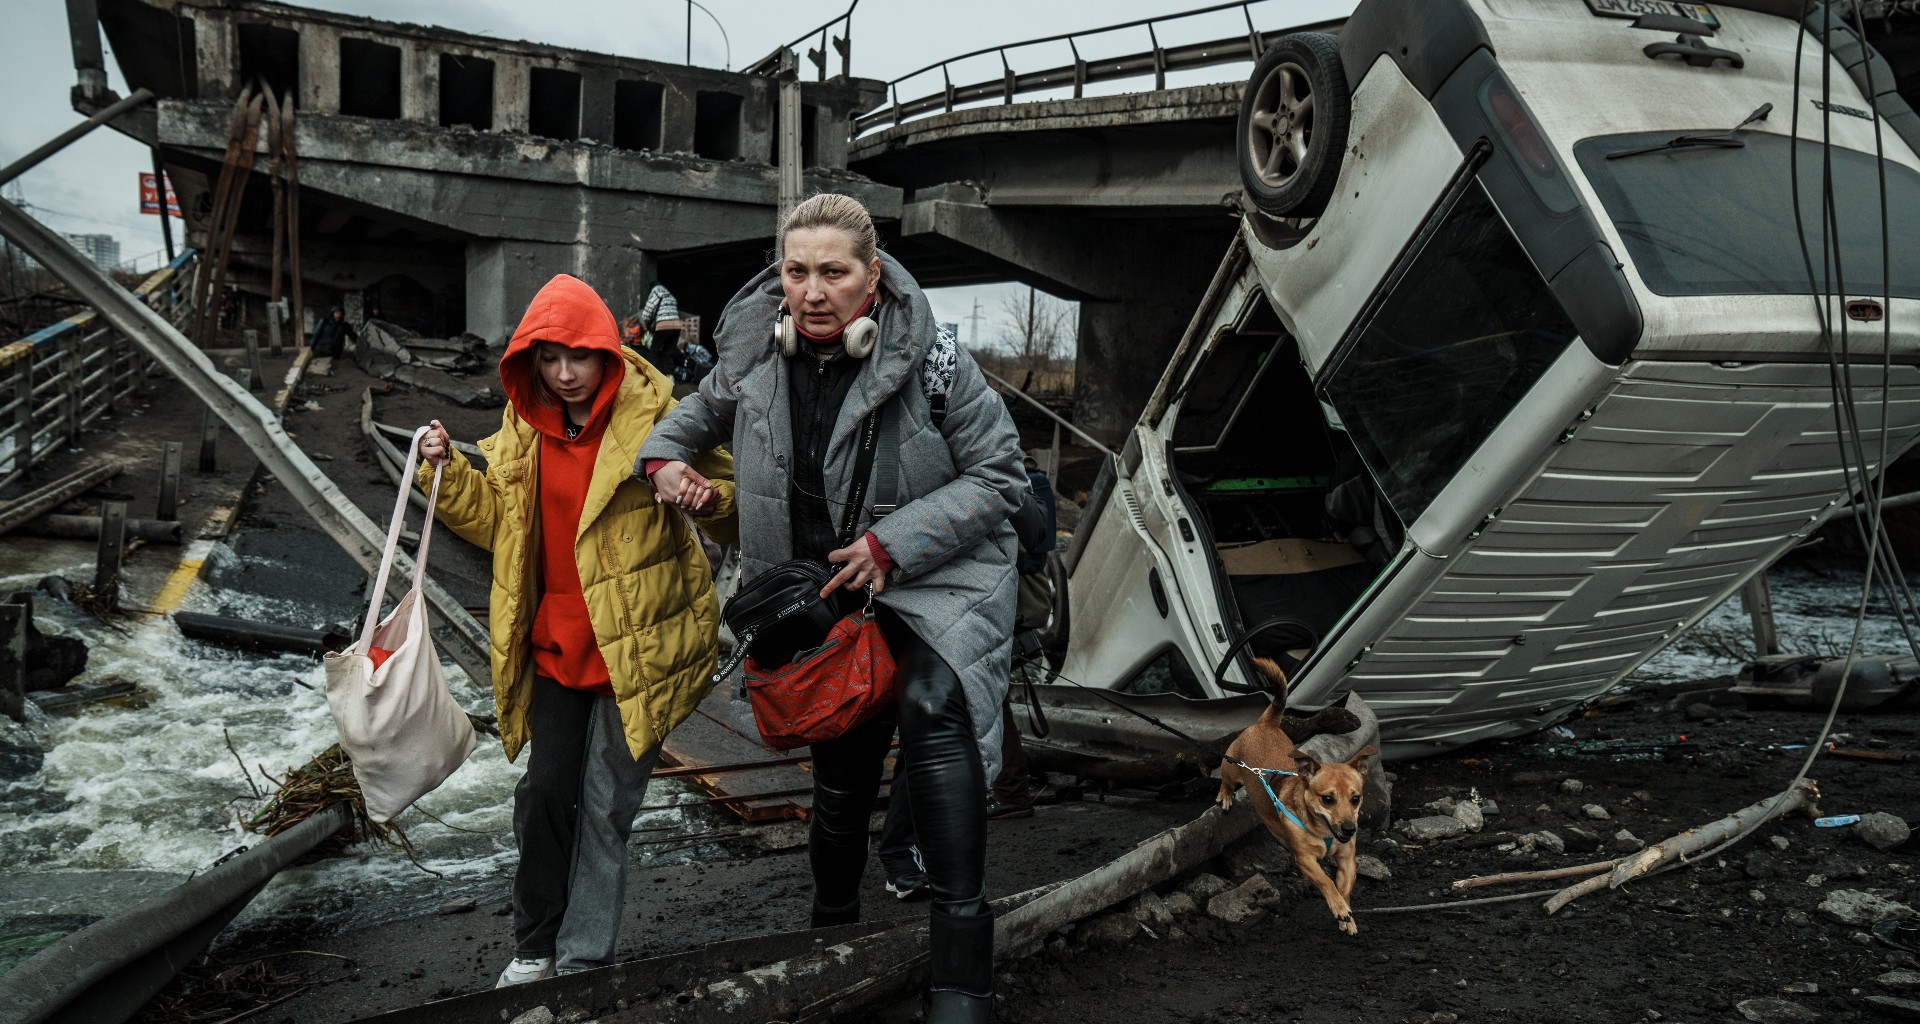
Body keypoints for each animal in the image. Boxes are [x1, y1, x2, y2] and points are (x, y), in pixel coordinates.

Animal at [1221, 657, 1374, 929]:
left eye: (1355, 799)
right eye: (1327, 799)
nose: (1349, 829)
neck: (1324, 832)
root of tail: (1266, 723)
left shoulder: (1347, 861)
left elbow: (1344, 888)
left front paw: (1346, 914)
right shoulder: (1305, 860)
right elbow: (1325, 881)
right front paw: (1338, 907)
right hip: (1231, 766)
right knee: (1225, 781)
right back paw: (1225, 797)